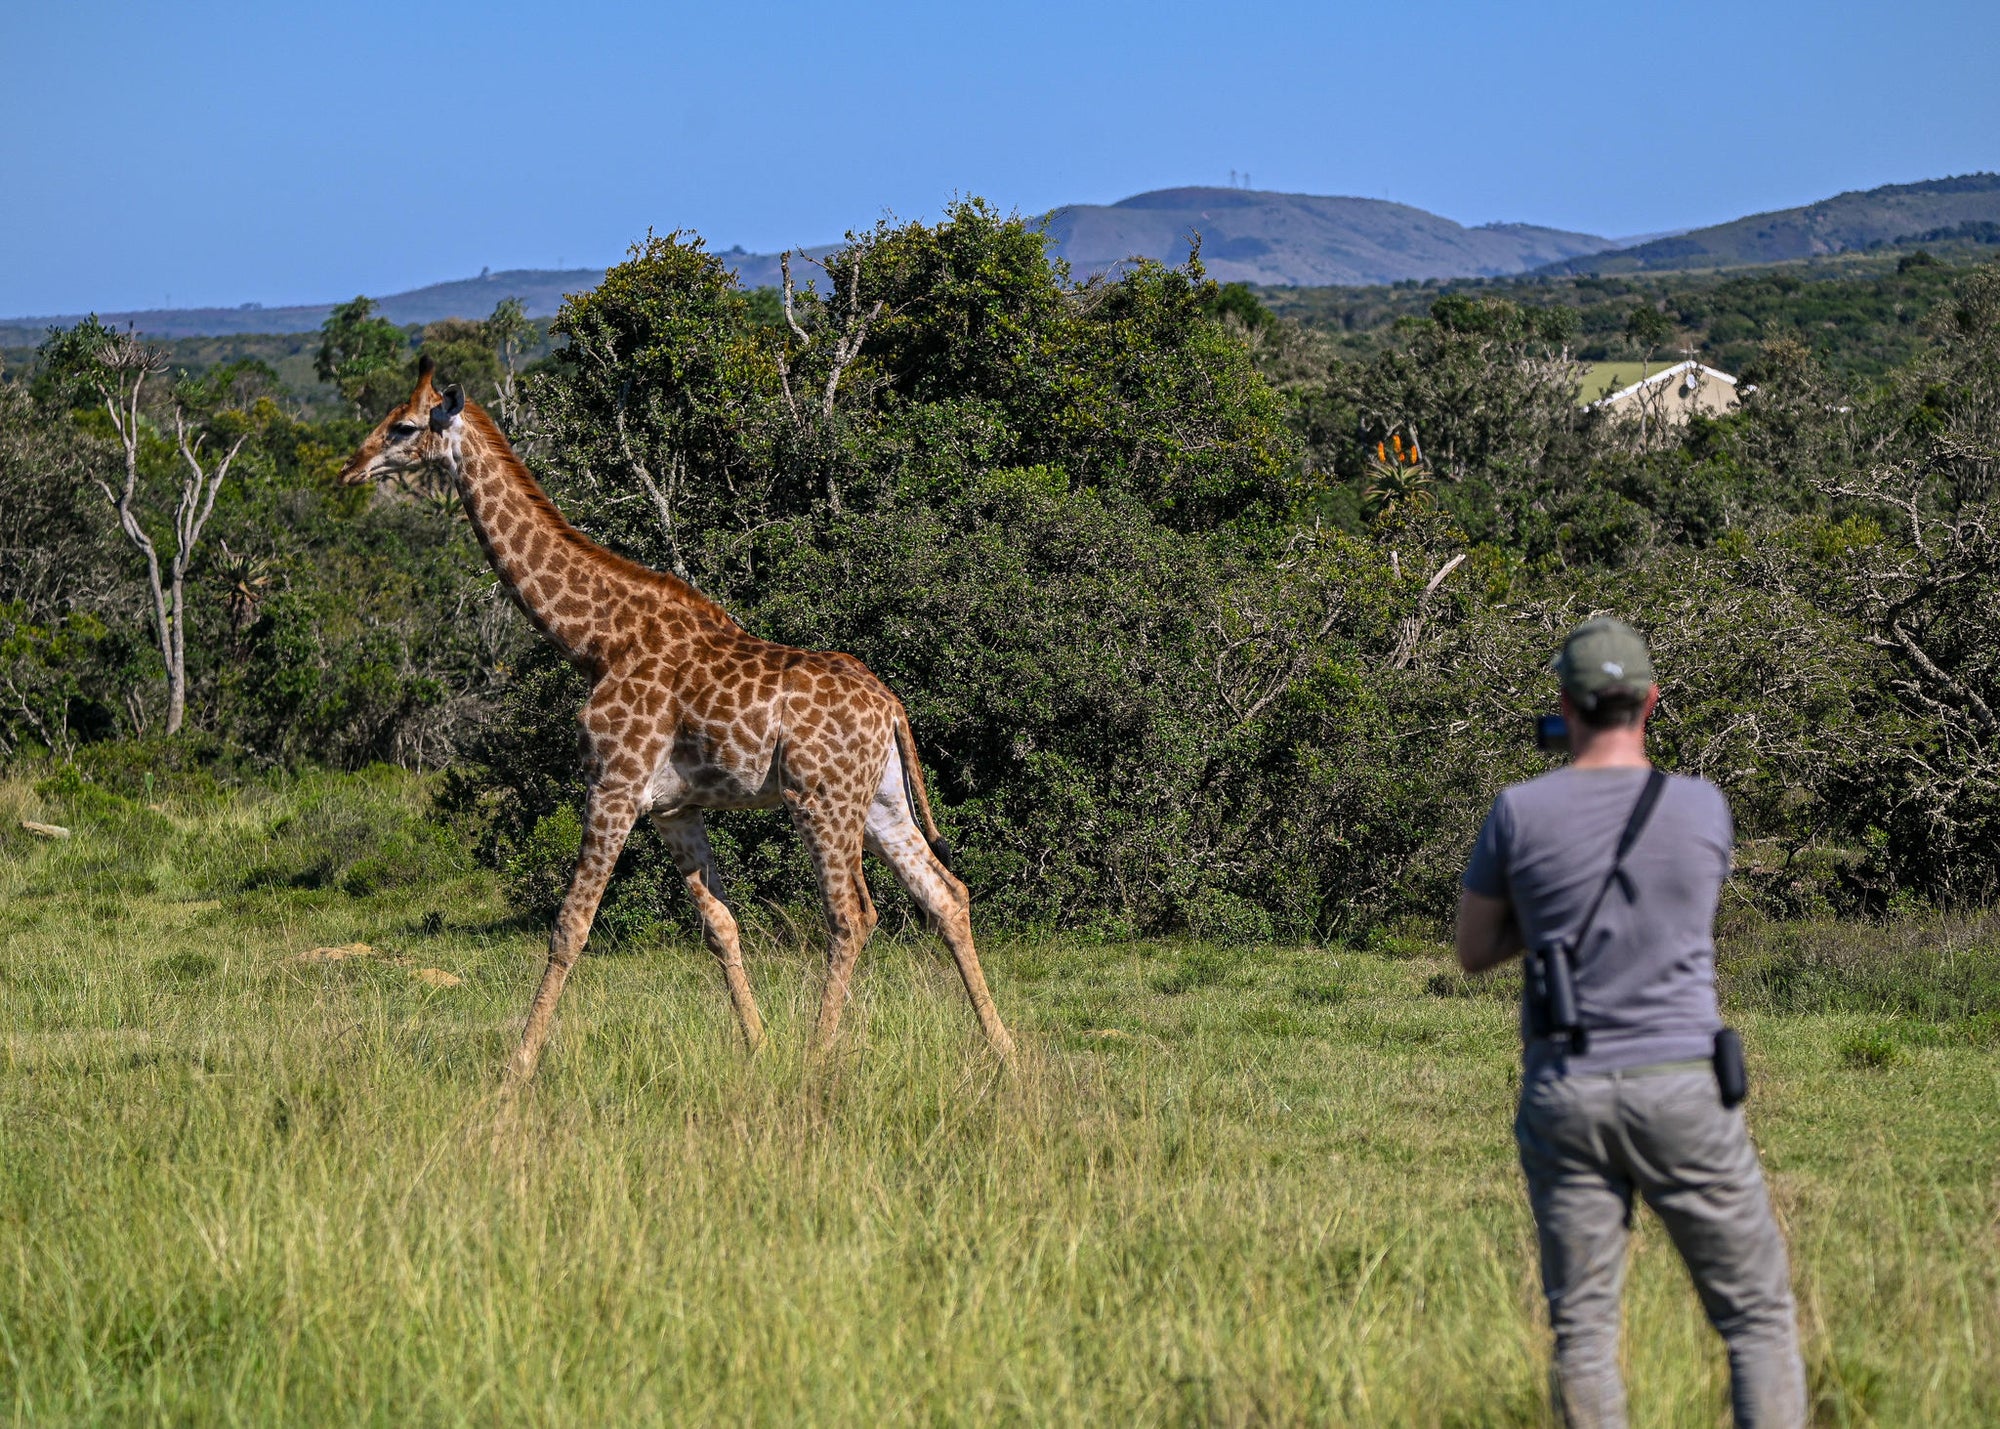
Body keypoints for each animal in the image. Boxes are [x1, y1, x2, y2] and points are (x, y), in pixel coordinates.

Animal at [338, 359, 1013, 1082]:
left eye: (403, 426)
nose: (349, 468)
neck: (595, 640)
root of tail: (892, 707)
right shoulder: (672, 808)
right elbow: (720, 924)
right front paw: (757, 1046)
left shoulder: (611, 785)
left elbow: (570, 925)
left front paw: (517, 1066)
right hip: (880, 799)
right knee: (946, 895)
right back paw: (1004, 1050)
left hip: (820, 798)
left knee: (853, 914)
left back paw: (816, 1057)